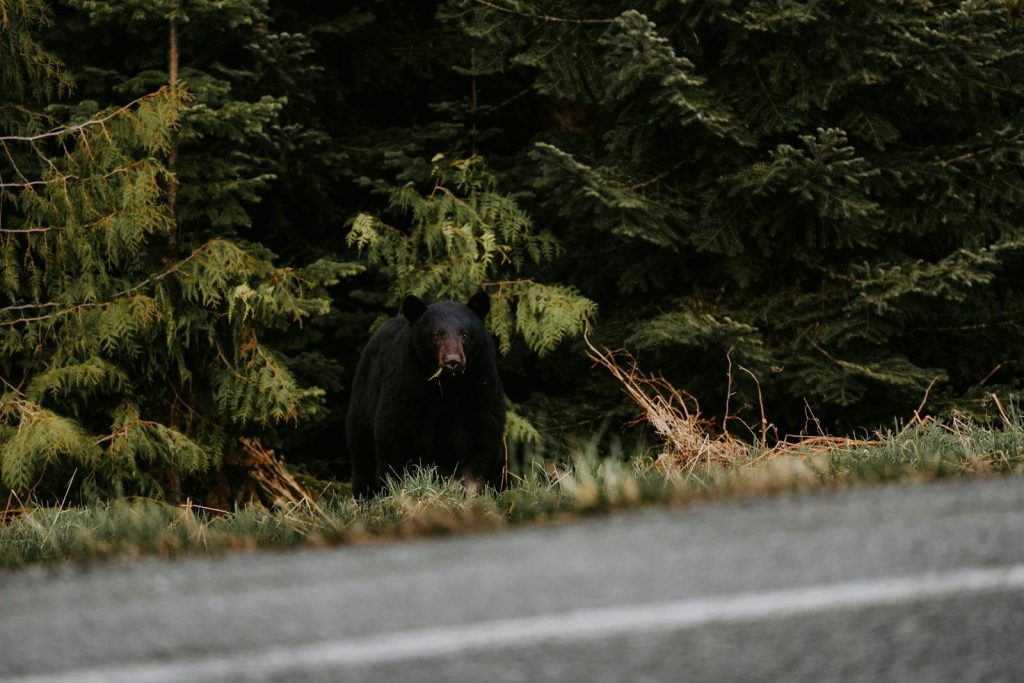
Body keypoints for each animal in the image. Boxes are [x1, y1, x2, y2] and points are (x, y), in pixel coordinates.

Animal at [346, 291, 506, 499]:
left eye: (464, 334)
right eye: (435, 335)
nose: (453, 361)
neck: (449, 384)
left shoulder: (479, 382)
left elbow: (482, 430)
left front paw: (472, 491)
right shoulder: (408, 380)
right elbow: (397, 432)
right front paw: (403, 489)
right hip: (363, 399)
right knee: (362, 453)